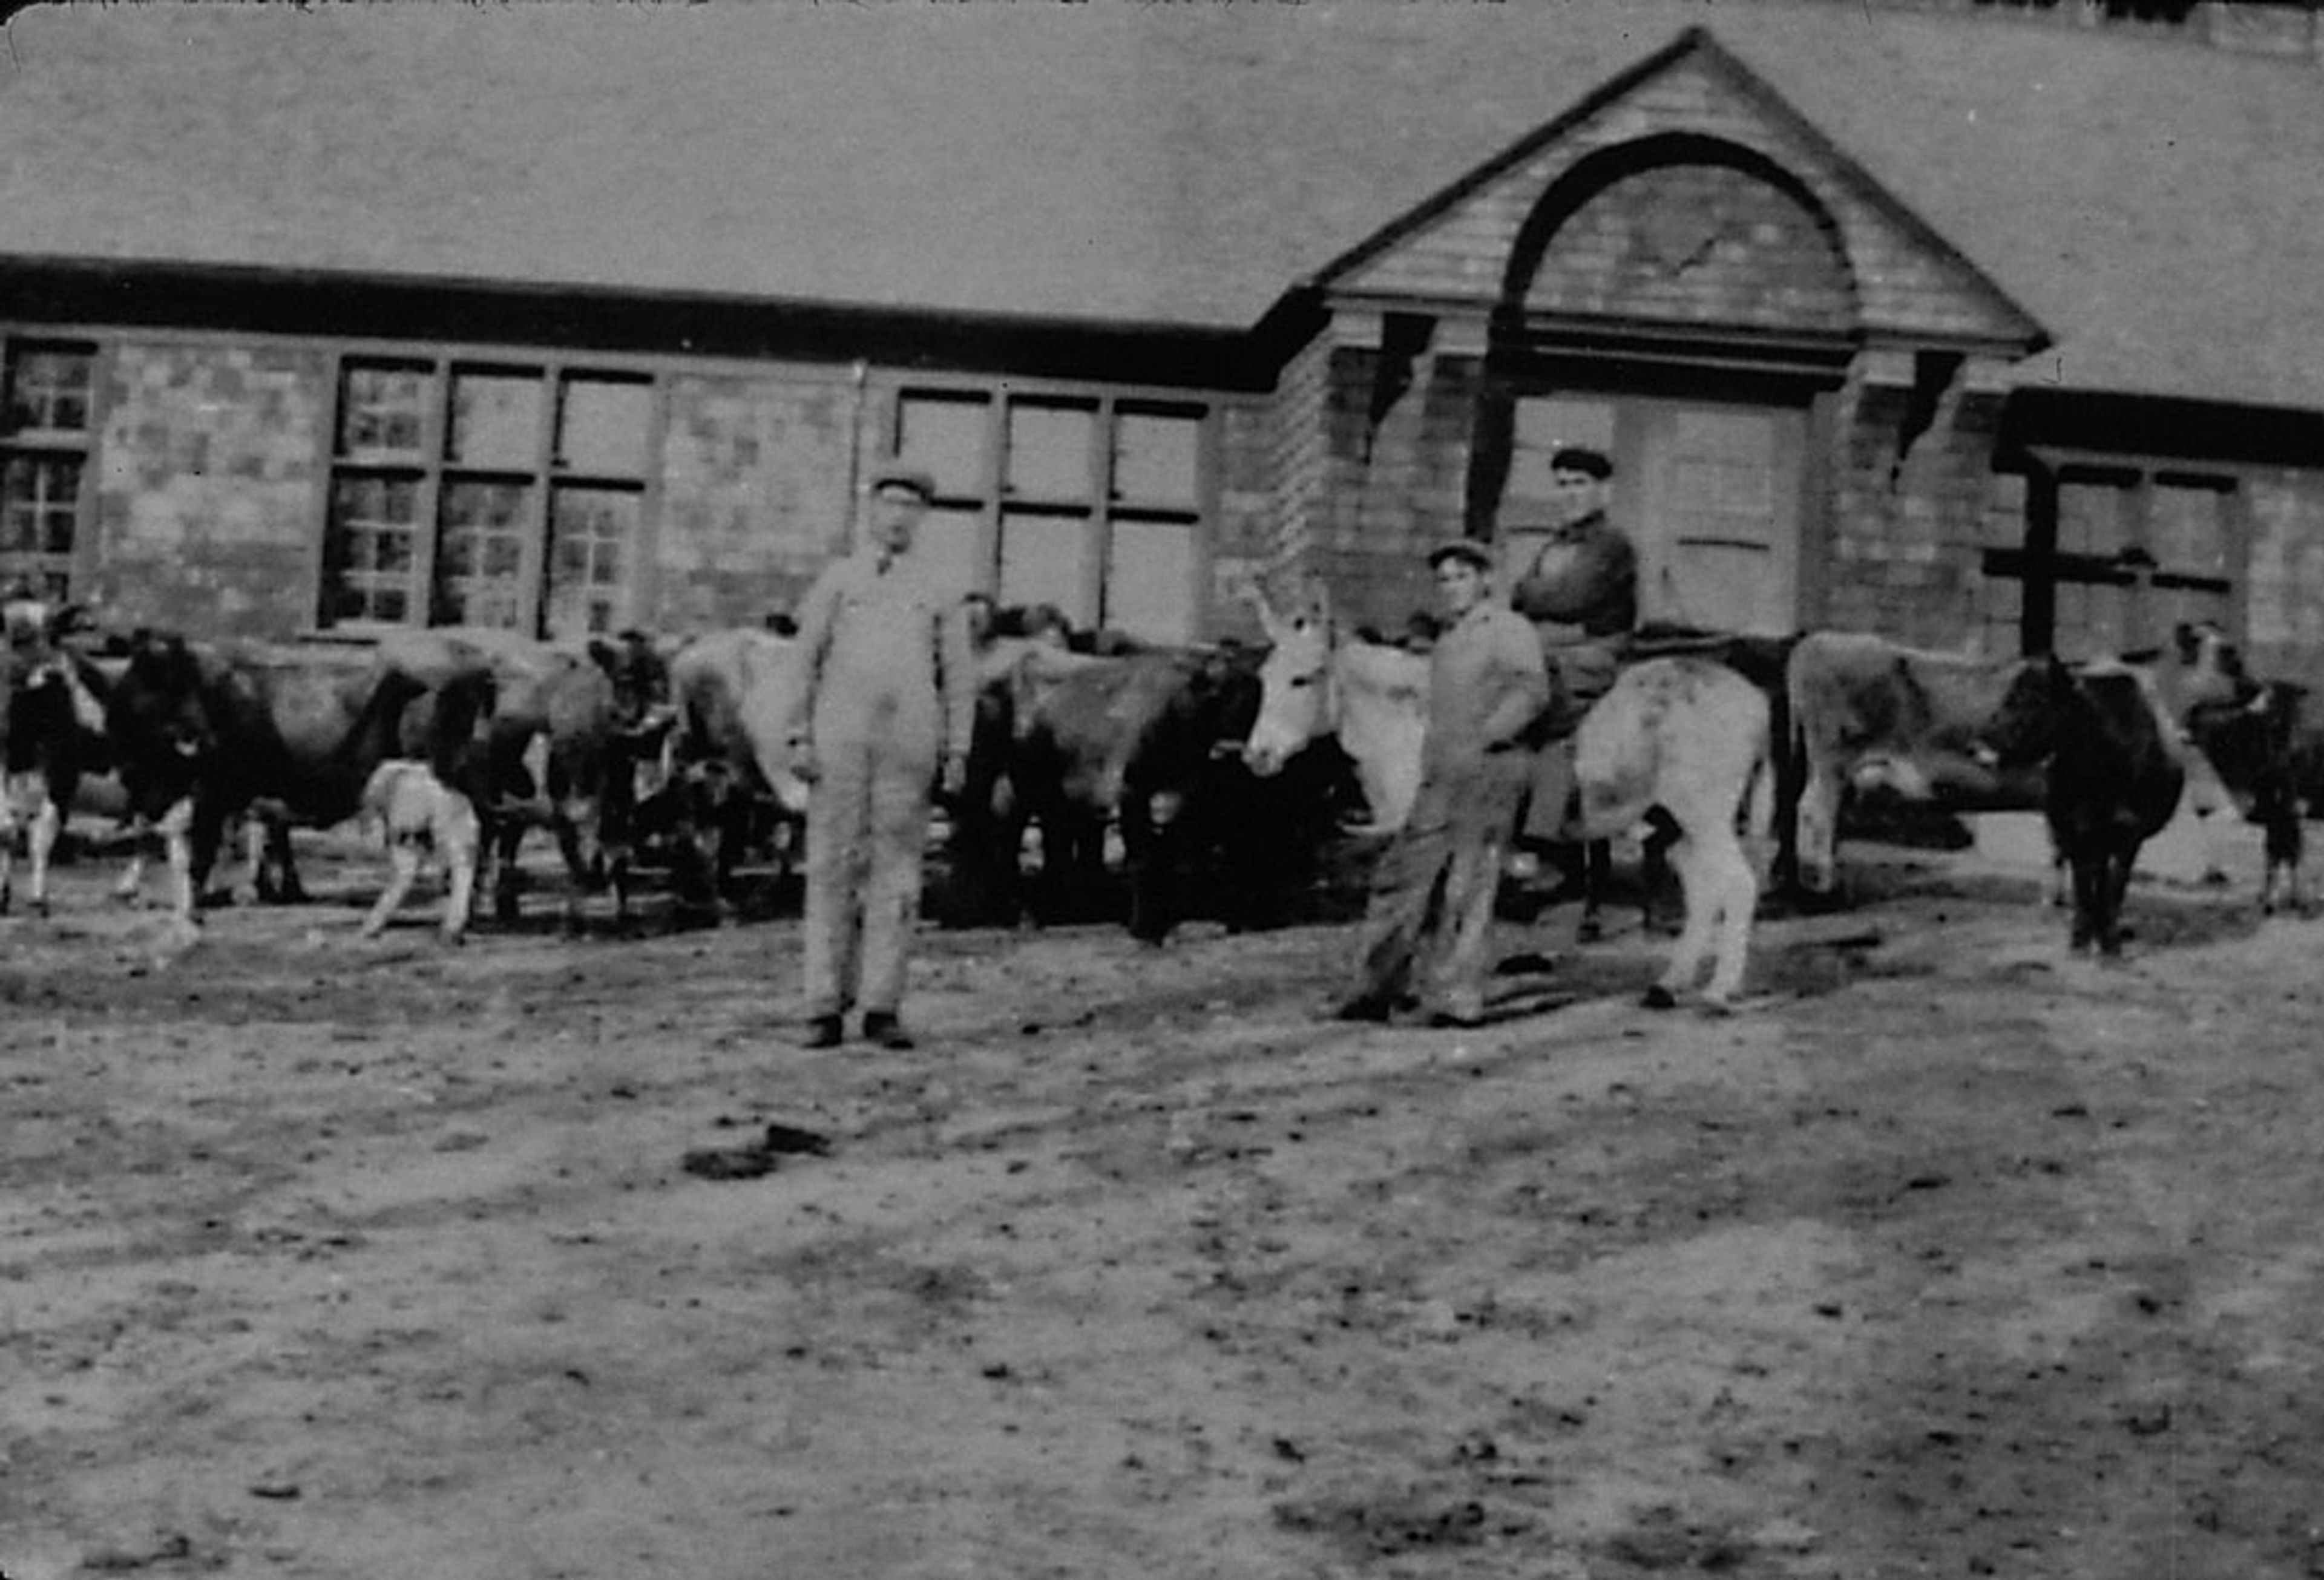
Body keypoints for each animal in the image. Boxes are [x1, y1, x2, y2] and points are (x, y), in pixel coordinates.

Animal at [1980, 655, 2175, 957]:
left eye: (2034, 699)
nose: (1984, 738)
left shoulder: (2129, 834)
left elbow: (2113, 888)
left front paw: (2110, 944)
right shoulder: (2072, 829)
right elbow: (2083, 885)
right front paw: (2080, 939)